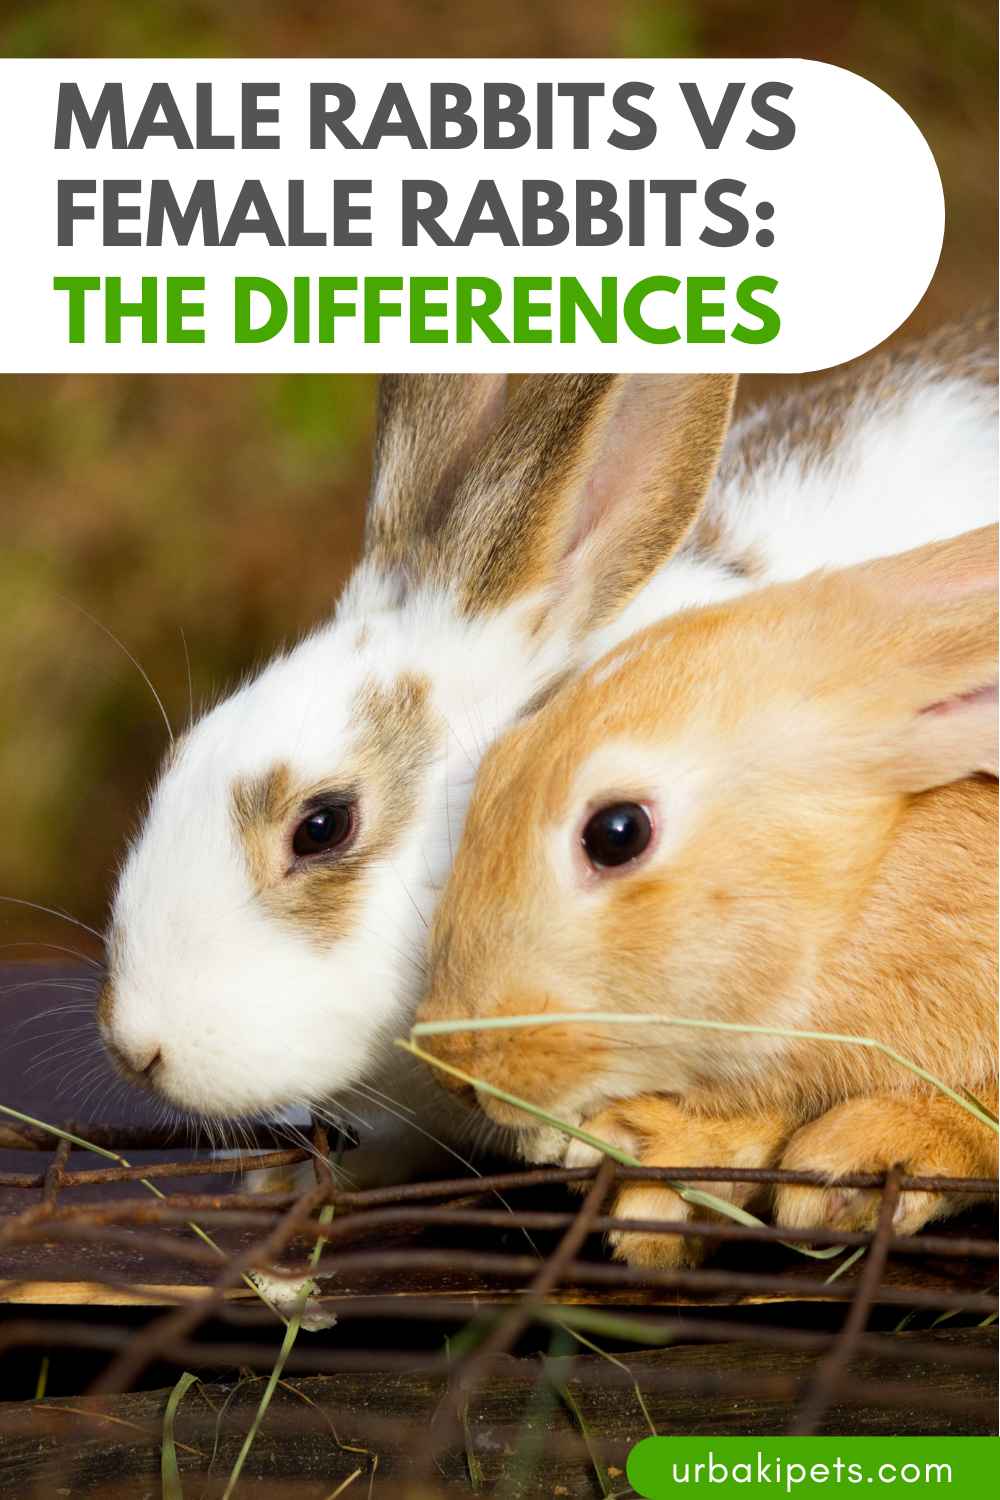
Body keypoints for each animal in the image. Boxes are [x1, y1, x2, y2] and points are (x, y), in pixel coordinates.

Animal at [416, 523, 998, 1268]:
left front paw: (854, 1158)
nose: (453, 1064)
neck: (863, 889)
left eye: (617, 833)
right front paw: (657, 1160)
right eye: (494, 766)